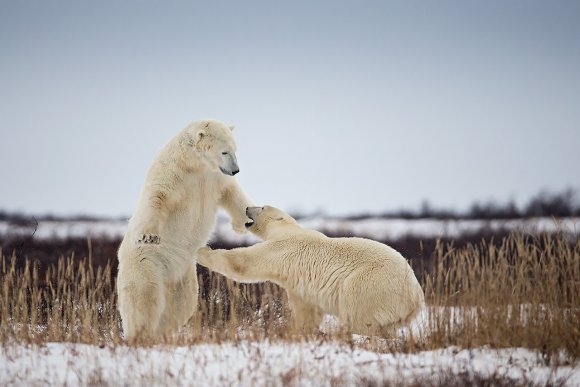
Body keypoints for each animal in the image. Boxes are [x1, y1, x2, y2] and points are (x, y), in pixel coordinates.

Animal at [117, 119, 251, 342]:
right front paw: (149, 235)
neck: (195, 164)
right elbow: (157, 197)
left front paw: (248, 220)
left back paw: (162, 333)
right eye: (225, 151)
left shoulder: (215, 177)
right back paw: (141, 335)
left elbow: (232, 193)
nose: (236, 170)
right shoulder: (173, 172)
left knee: (182, 304)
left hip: (183, 274)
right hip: (146, 262)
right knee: (144, 297)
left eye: (235, 149)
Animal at [197, 206, 424, 336]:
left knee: (358, 314)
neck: (288, 230)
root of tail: (416, 298)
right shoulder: (298, 284)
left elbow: (244, 262)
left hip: (371, 284)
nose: (246, 207)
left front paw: (202, 250)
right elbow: (307, 310)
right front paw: (300, 330)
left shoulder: (283, 248)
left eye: (261, 206)